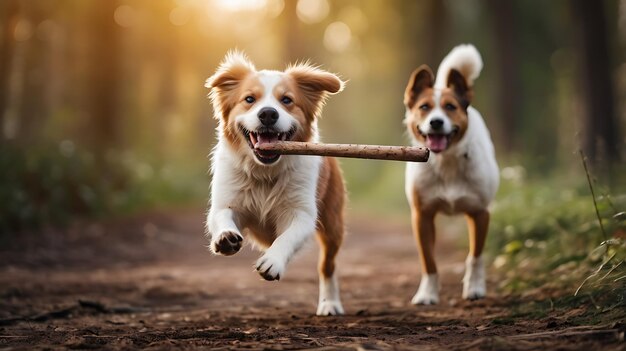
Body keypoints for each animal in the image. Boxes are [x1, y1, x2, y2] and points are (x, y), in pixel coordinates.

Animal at [205, 51, 346, 316]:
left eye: (287, 100)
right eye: (249, 99)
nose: (268, 114)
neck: (264, 172)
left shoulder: (302, 213)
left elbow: (287, 237)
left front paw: (272, 261)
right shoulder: (226, 202)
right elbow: (221, 216)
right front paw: (225, 237)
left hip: (333, 226)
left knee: (327, 266)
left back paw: (330, 303)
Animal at [404, 44, 498, 304]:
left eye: (450, 107)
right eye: (424, 107)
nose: (436, 122)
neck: (446, 163)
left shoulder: (480, 213)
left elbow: (475, 257)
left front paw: (474, 288)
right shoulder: (422, 216)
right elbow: (429, 261)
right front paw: (427, 294)